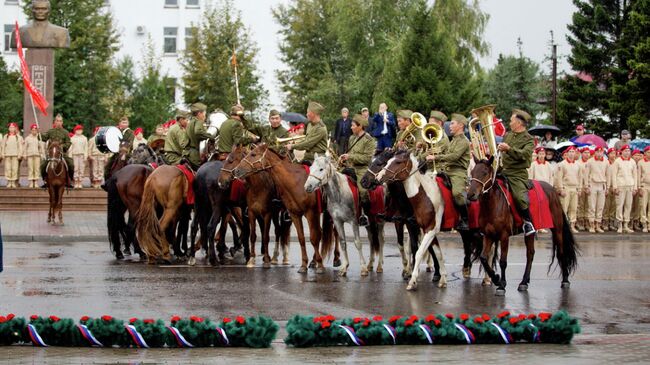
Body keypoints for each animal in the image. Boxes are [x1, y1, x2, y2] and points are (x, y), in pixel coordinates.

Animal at [233, 143, 334, 272]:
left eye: (253, 154)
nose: (236, 171)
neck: (296, 182)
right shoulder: (294, 214)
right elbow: (302, 238)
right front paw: (304, 265)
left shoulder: (311, 213)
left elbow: (314, 237)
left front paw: (320, 265)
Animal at [374, 149, 446, 288]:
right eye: (387, 161)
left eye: (397, 162)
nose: (378, 177)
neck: (425, 196)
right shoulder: (423, 227)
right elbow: (437, 253)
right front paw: (442, 279)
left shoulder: (430, 229)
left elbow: (418, 251)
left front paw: (412, 280)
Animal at [466, 156, 576, 296]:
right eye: (472, 172)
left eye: (485, 173)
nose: (471, 195)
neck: (492, 205)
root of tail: (552, 190)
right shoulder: (488, 235)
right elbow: (484, 258)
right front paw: (496, 278)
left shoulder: (504, 235)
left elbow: (503, 261)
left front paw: (501, 285)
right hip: (530, 233)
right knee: (530, 254)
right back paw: (524, 282)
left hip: (557, 229)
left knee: (561, 253)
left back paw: (565, 280)